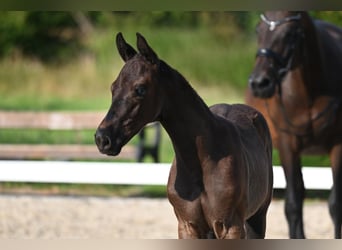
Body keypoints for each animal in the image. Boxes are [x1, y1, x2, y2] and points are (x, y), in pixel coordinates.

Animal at [95, 32, 272, 238]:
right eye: (113, 87)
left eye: (140, 89)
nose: (102, 139)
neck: (203, 161)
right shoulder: (188, 225)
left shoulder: (231, 227)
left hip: (257, 217)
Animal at [247, 11, 342, 238]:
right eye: (258, 30)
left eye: (290, 33)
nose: (259, 83)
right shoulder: (287, 145)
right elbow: (292, 204)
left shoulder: (338, 144)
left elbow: (336, 205)